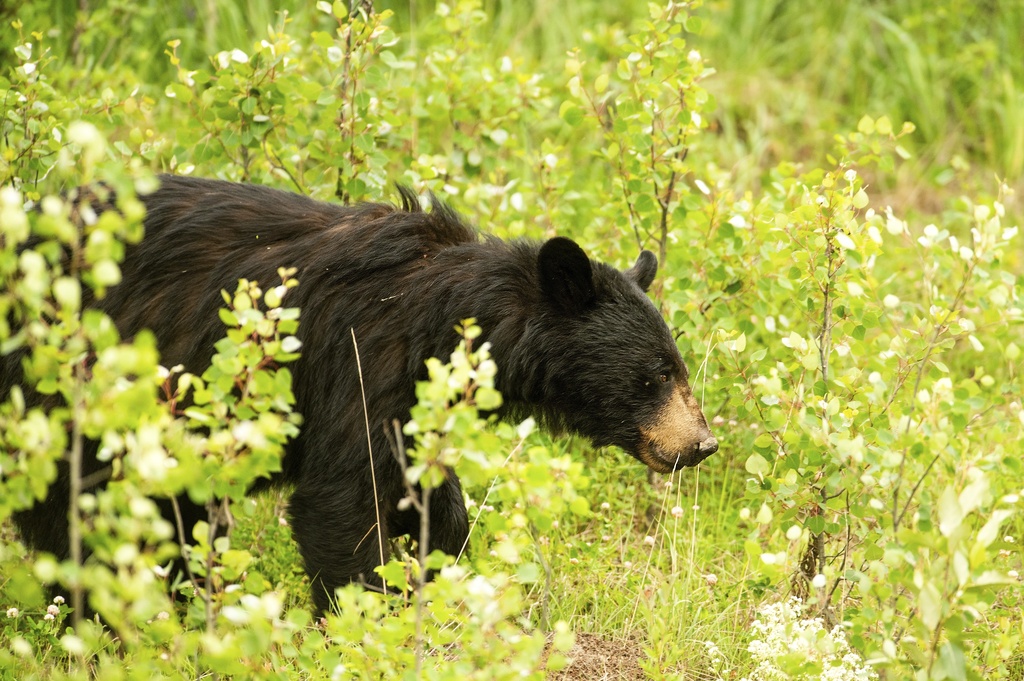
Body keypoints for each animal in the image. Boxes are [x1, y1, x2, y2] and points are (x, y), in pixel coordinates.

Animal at [4, 175, 716, 610]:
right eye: (655, 374)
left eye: (678, 368)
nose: (702, 444)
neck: (449, 318)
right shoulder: (361, 359)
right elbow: (341, 499)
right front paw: (368, 616)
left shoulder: (416, 398)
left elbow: (426, 490)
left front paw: (439, 559)